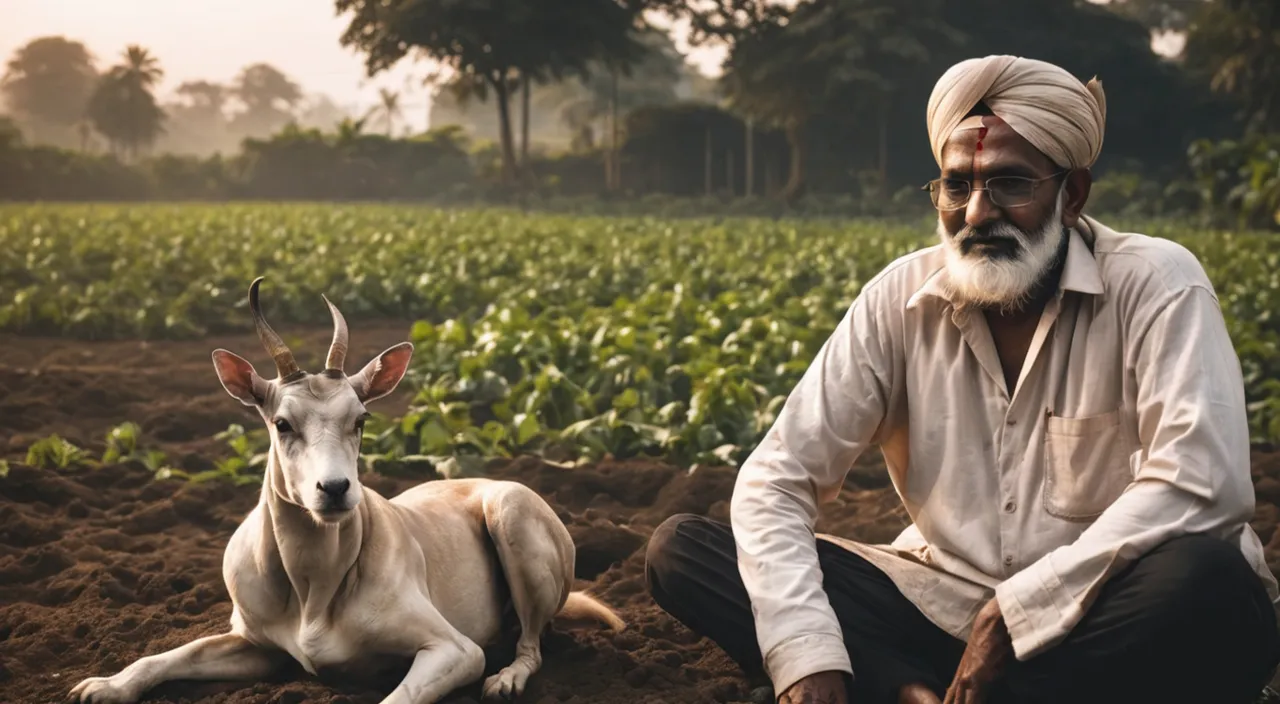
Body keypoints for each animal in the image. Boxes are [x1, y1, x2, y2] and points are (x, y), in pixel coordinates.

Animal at [70, 280, 624, 704]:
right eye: (282, 423)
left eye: (360, 419)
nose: (335, 489)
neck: (313, 581)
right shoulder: (255, 646)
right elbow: (167, 655)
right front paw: (104, 685)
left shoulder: (456, 650)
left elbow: (404, 693)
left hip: (510, 513)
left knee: (531, 643)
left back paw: (508, 678)